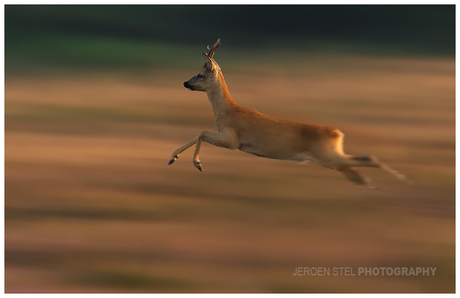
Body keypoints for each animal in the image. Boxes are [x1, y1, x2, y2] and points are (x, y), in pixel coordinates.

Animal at [168, 39, 406, 189]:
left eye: (200, 75)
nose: (185, 83)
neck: (227, 111)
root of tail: (337, 133)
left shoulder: (232, 140)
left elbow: (201, 132)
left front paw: (195, 163)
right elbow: (199, 134)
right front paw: (174, 158)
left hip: (327, 155)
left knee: (368, 159)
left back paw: (401, 179)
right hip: (331, 158)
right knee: (357, 169)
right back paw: (374, 185)